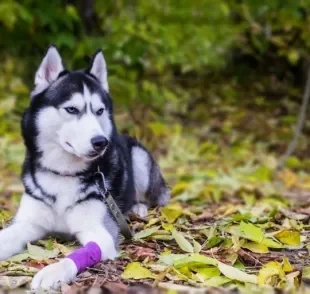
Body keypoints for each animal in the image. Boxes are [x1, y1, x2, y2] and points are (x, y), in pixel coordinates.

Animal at [0, 46, 170, 290]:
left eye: (99, 111)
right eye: (72, 109)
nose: (101, 142)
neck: (64, 174)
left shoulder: (102, 233)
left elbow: (75, 256)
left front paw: (52, 272)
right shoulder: (27, 223)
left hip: (140, 160)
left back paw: (138, 207)